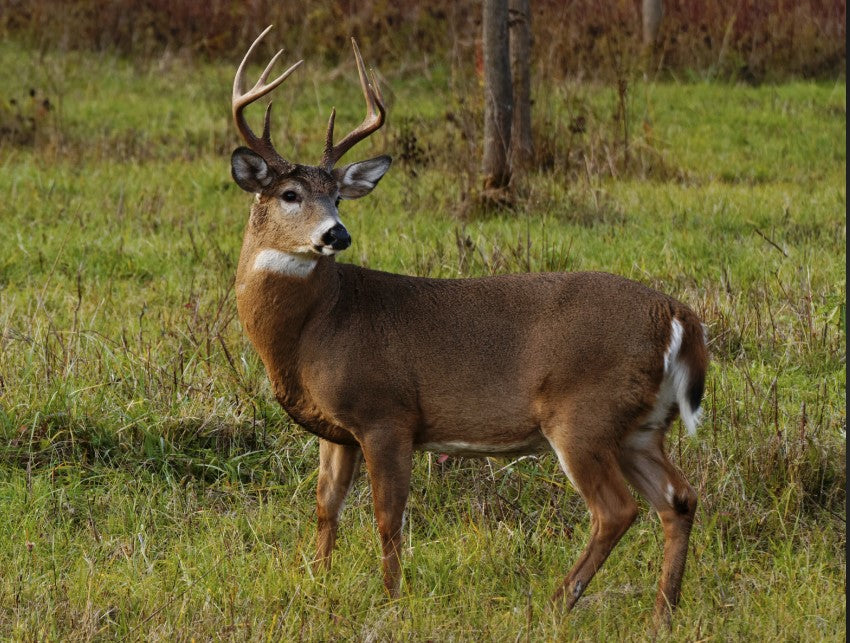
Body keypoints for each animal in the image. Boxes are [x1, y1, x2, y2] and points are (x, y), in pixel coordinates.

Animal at [229, 26, 708, 627]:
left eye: (337, 196)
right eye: (290, 194)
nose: (336, 234)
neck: (314, 329)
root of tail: (677, 317)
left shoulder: (387, 413)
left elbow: (387, 515)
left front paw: (393, 601)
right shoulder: (337, 430)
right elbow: (325, 507)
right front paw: (317, 583)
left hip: (584, 414)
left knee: (617, 509)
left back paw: (555, 604)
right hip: (640, 427)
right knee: (679, 499)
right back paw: (662, 613)